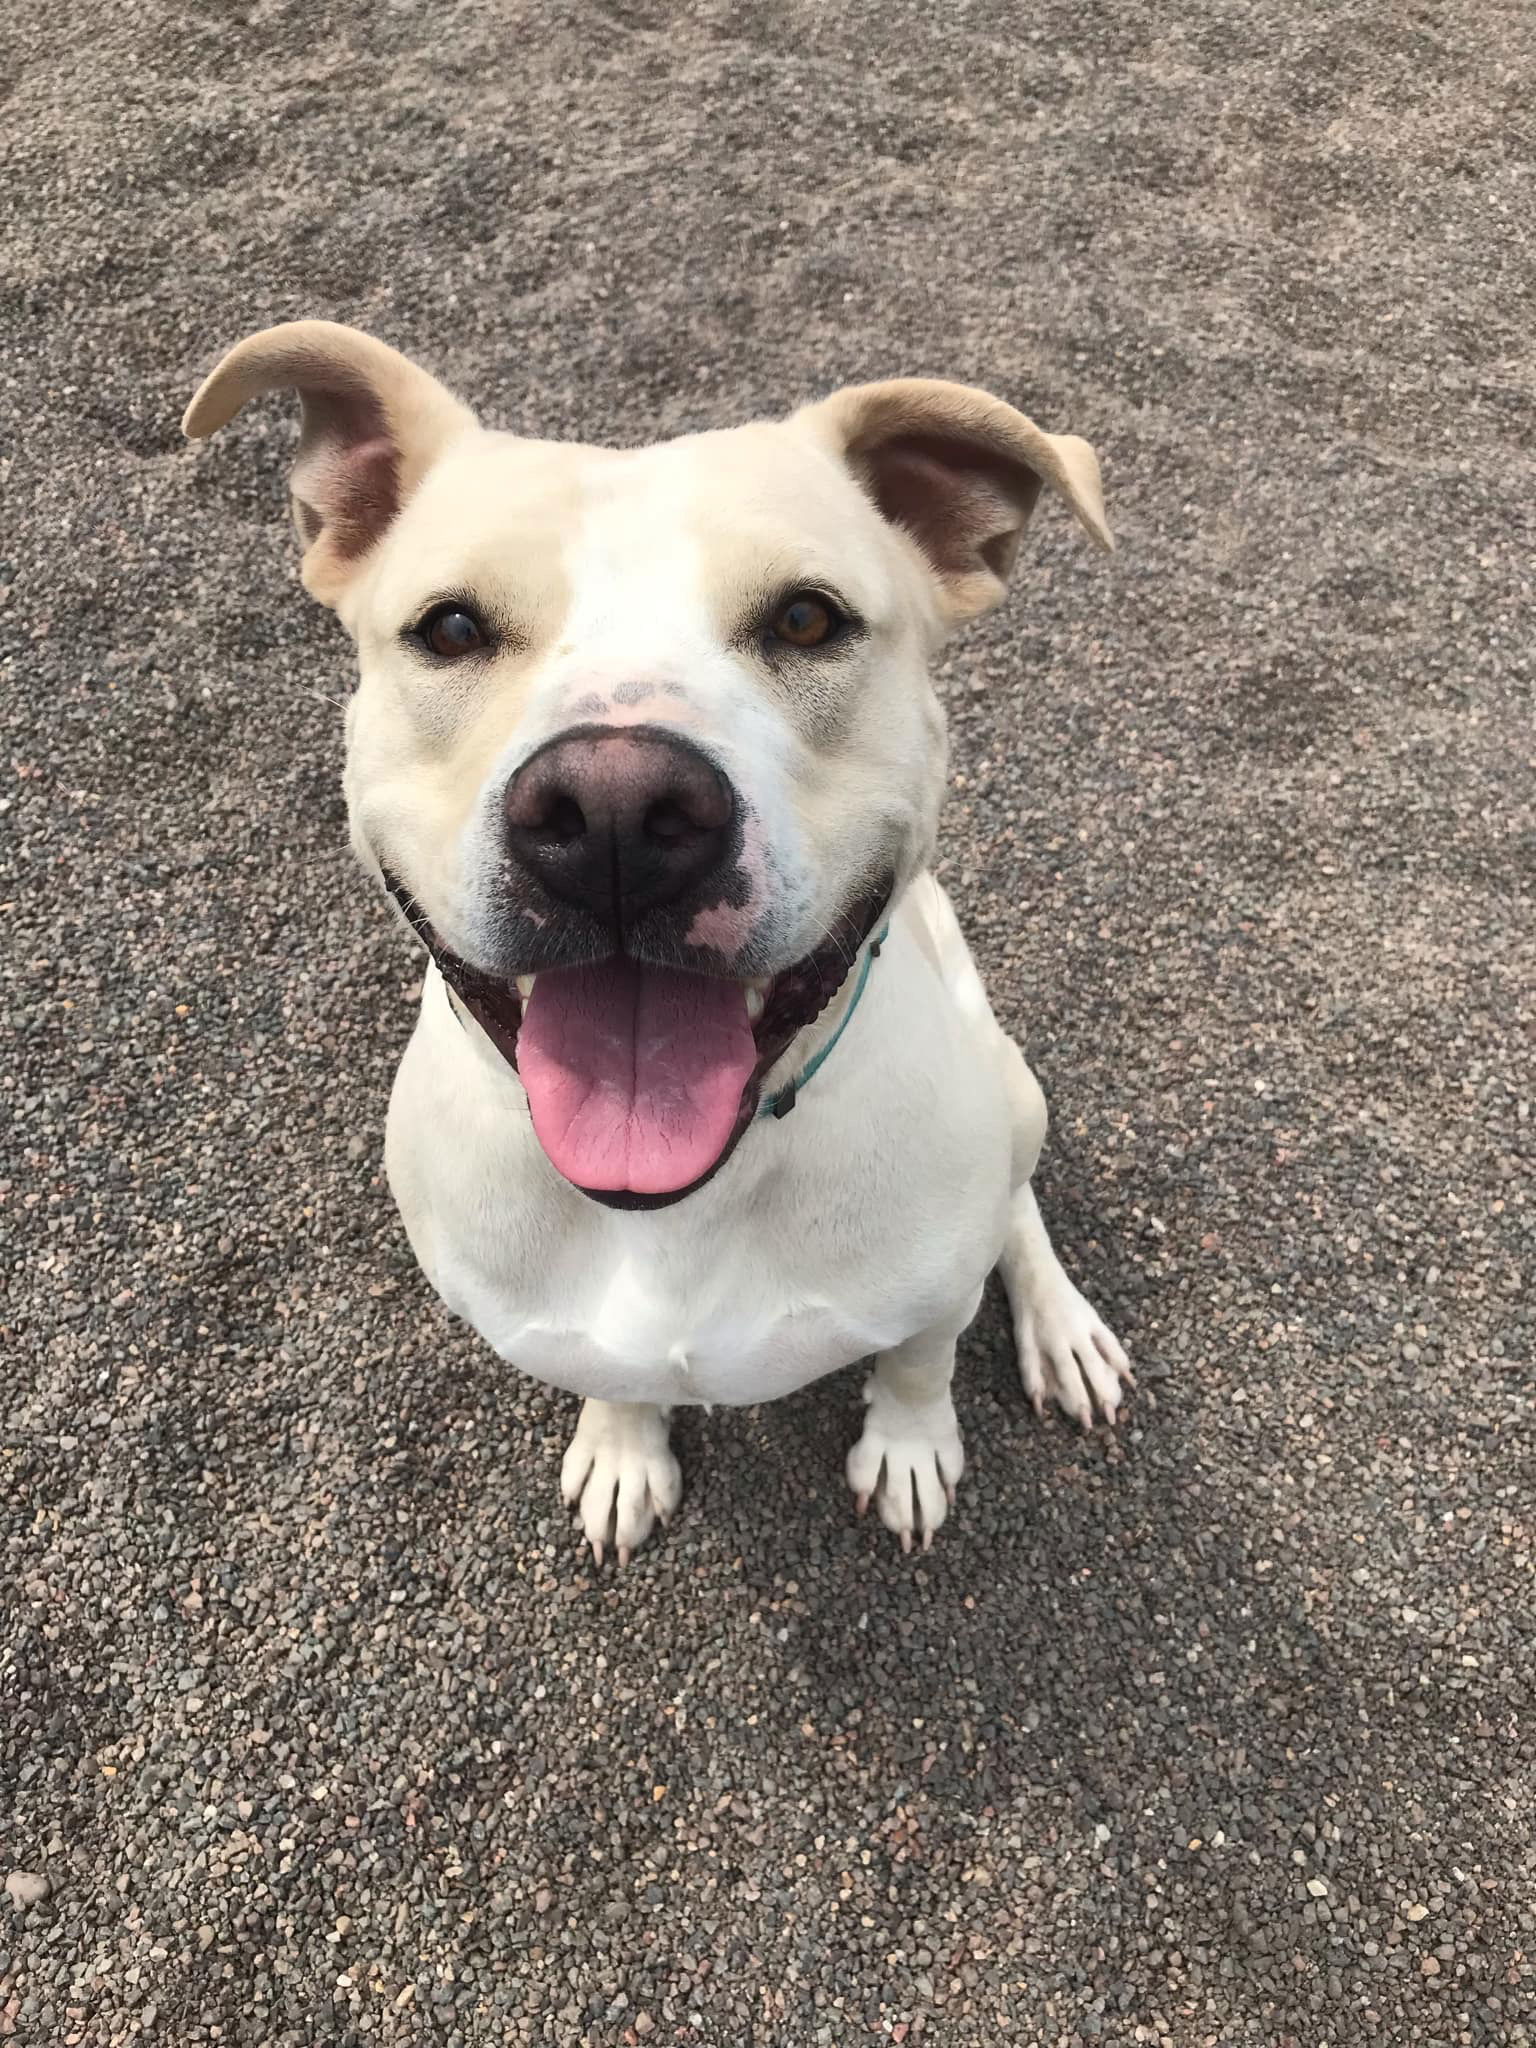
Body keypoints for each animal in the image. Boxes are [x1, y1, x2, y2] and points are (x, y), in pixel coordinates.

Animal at [186, 323, 1138, 1548]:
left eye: (807, 618)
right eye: (451, 627)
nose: (615, 811)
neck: (682, 1202)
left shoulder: (933, 1292)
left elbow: (920, 1360)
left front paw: (911, 1445)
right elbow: (618, 1380)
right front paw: (623, 1448)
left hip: (1016, 1093)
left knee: (1016, 1211)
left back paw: (1062, 1328)